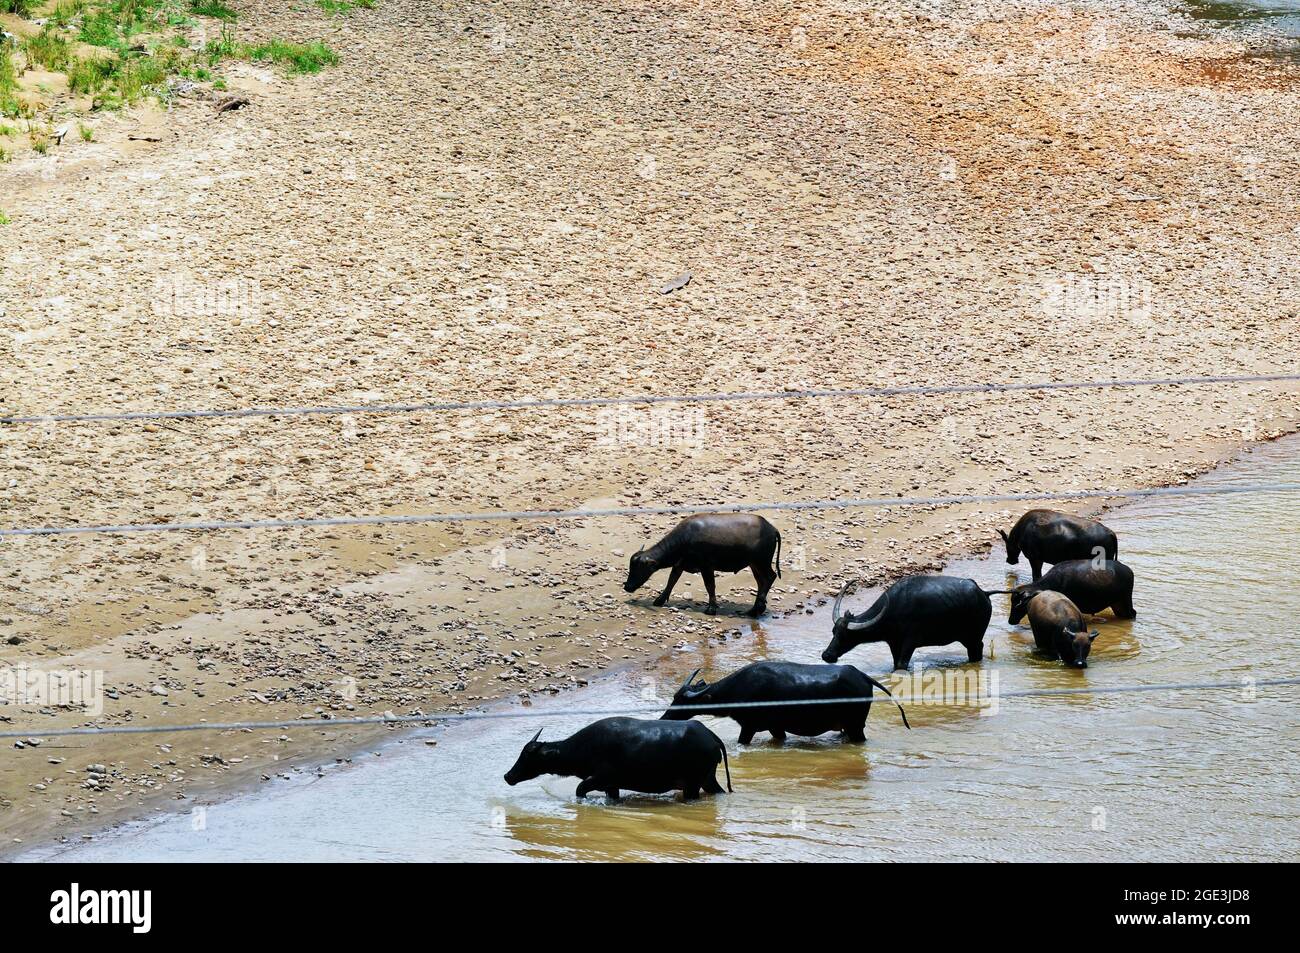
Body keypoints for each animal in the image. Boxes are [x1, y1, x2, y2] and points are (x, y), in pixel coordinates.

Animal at [501, 717, 733, 800]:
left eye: (527, 756)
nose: (507, 776)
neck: (585, 747)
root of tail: (710, 735)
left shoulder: (600, 779)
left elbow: (579, 790)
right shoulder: (611, 785)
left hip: (692, 785)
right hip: (708, 779)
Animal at [621, 512, 780, 616]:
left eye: (638, 568)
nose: (627, 586)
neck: (685, 539)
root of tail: (772, 529)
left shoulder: (706, 567)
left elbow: (710, 586)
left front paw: (711, 609)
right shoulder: (679, 564)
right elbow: (671, 581)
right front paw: (659, 600)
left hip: (761, 562)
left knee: (770, 577)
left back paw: (757, 609)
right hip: (754, 564)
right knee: (761, 581)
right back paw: (754, 609)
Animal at [655, 660, 909, 743]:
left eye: (682, 702)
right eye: (674, 697)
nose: (665, 717)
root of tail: (863, 676)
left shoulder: (748, 727)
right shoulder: (776, 728)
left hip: (855, 726)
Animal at [821, 572, 993, 670]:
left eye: (846, 635)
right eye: (833, 631)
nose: (826, 655)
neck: (894, 609)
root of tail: (983, 593)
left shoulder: (910, 643)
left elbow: (901, 665)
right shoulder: (894, 643)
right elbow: (895, 664)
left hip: (974, 638)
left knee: (977, 651)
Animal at [1003, 556, 1138, 624]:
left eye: (1018, 603)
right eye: (1012, 600)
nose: (1010, 621)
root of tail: (1129, 571)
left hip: (1126, 600)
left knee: (1133, 613)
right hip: (1117, 604)